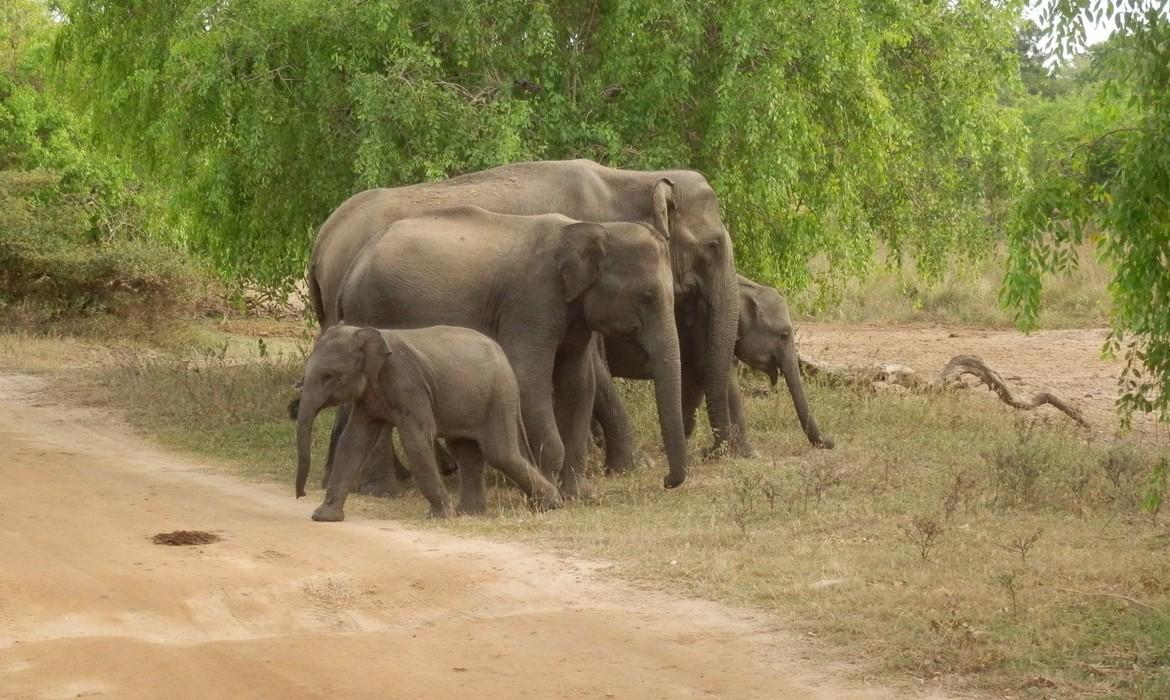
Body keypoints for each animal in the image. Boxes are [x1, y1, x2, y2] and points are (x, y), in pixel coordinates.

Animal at [293, 324, 563, 521]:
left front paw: (440, 516)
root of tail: (503, 355)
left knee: (500, 453)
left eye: (329, 376)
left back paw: (550, 505)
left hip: (499, 395)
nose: (301, 495)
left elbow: (416, 438)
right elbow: (354, 440)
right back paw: (469, 513)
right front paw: (324, 517)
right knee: (466, 451)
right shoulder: (368, 397)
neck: (369, 332)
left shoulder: (409, 384)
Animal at [307, 159, 739, 462]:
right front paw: (628, 465)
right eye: (714, 245)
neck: (632, 179)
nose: (712, 453)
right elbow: (594, 365)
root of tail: (323, 237)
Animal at [330, 205, 685, 496]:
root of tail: (351, 269)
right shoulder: (531, 301)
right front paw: (551, 488)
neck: (593, 228)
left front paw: (578, 495)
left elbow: (578, 384)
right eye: (647, 297)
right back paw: (384, 492)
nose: (667, 481)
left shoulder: (575, 314)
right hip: (372, 307)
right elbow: (528, 377)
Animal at [593, 275, 832, 464]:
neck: (745, 287)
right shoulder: (703, 326)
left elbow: (698, 382)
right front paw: (747, 454)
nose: (832, 442)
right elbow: (716, 377)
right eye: (784, 334)